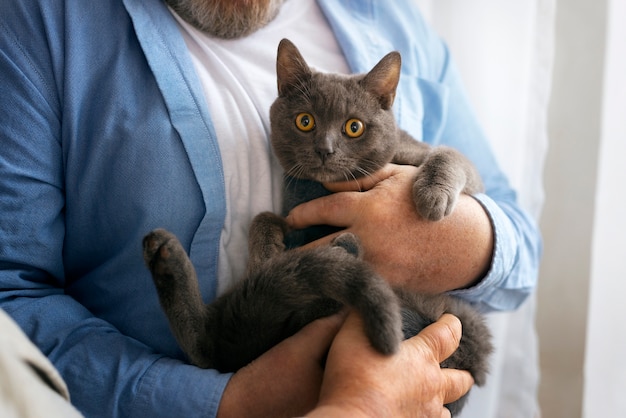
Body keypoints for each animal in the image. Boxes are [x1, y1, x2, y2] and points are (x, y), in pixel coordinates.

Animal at [144, 38, 490, 414]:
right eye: (305, 121)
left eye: (354, 126)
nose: (325, 149)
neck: (323, 187)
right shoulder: (296, 212)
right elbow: (263, 217)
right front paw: (265, 252)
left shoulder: (440, 164)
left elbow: (449, 156)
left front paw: (432, 197)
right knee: (217, 343)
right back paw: (165, 255)